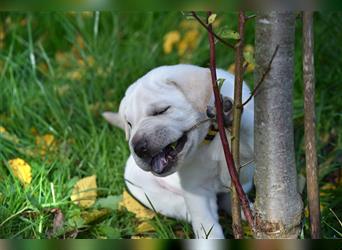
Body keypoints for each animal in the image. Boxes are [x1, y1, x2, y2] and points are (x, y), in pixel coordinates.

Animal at [103, 64, 255, 238]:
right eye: (129, 124)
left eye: (161, 111)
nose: (138, 148)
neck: (209, 136)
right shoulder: (196, 189)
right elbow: (207, 225)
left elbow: (249, 127)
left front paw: (227, 113)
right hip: (141, 186)